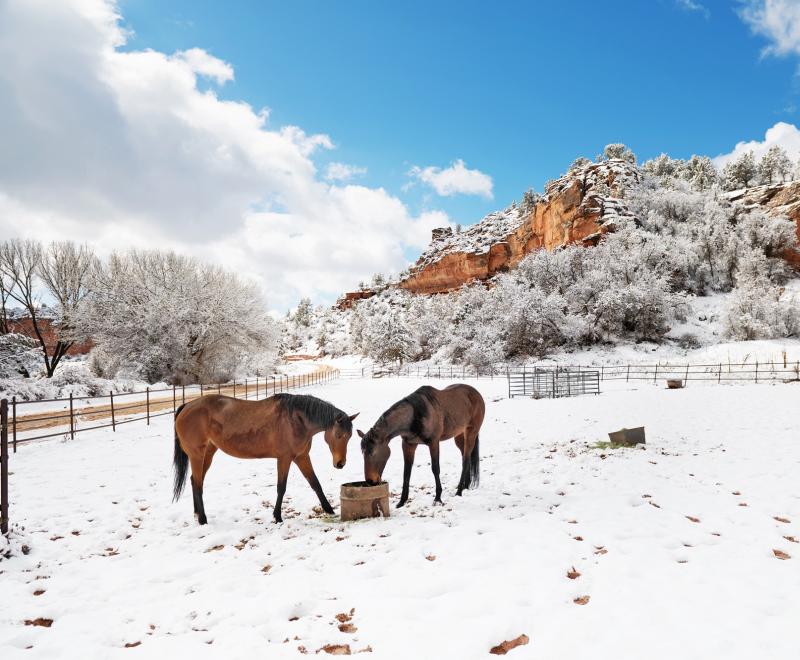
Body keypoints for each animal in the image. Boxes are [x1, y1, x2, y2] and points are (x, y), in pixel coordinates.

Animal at [173, 394, 358, 524]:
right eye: (338, 435)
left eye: (349, 436)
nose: (340, 463)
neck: (296, 420)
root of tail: (187, 406)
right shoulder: (284, 458)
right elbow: (281, 487)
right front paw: (277, 517)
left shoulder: (301, 457)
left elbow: (315, 483)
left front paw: (329, 510)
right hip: (197, 455)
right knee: (198, 484)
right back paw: (203, 519)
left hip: (209, 453)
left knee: (195, 481)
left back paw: (197, 514)